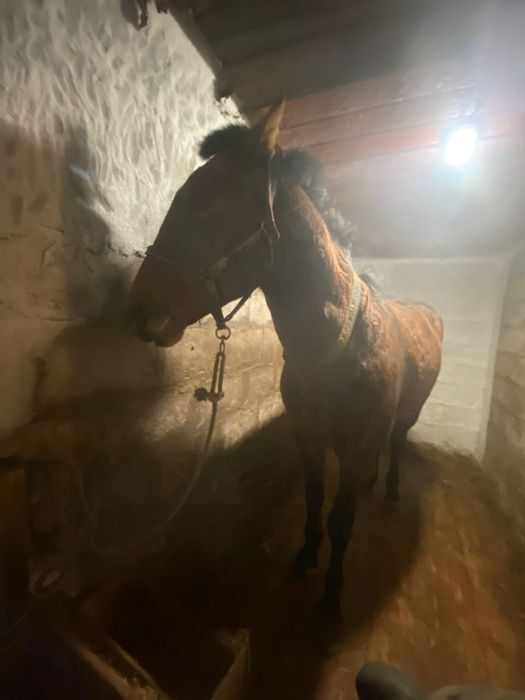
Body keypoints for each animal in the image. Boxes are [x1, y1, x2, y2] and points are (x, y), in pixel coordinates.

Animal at [130, 101, 443, 617]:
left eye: (203, 201)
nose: (137, 309)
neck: (337, 350)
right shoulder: (308, 435)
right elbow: (315, 500)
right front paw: (306, 556)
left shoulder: (354, 447)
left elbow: (341, 521)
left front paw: (332, 595)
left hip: (408, 414)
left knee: (396, 443)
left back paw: (393, 492)